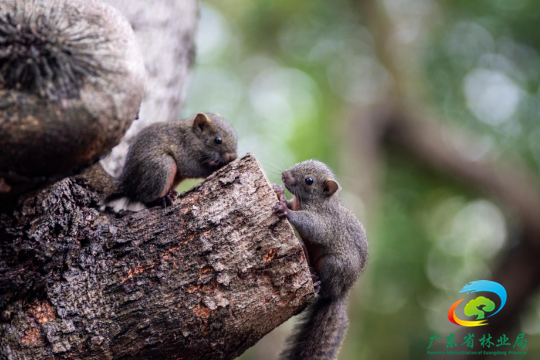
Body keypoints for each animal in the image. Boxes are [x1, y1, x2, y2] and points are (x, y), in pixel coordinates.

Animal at [272, 160, 370, 360]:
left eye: (309, 181)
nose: (284, 174)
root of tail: (341, 294)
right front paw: (279, 193)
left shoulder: (325, 223)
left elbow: (312, 227)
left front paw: (285, 211)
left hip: (333, 266)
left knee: (325, 289)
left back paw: (317, 283)